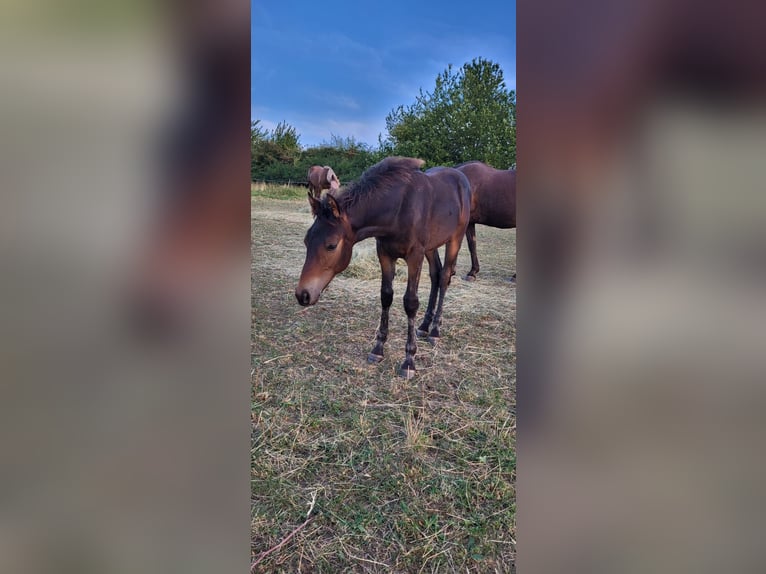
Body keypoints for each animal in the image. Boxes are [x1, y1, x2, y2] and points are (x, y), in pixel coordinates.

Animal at [295, 156, 471, 378]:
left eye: (331, 245)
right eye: (306, 241)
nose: (302, 294)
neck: (398, 209)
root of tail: (460, 177)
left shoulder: (415, 256)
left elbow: (410, 302)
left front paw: (409, 360)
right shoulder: (385, 254)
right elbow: (386, 296)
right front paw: (378, 349)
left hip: (454, 239)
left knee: (445, 276)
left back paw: (435, 330)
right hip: (431, 246)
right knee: (436, 275)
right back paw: (424, 326)